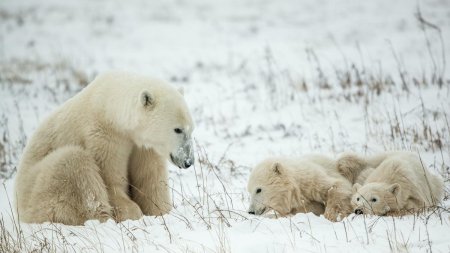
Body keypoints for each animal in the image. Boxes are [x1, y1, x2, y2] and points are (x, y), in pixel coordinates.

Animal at [14, 70, 194, 225]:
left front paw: (160, 211)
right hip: (35, 187)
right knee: (73, 163)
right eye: (178, 129)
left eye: (191, 128)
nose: (188, 161)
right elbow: (109, 177)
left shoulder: (143, 145)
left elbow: (150, 178)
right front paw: (131, 211)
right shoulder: (104, 135)